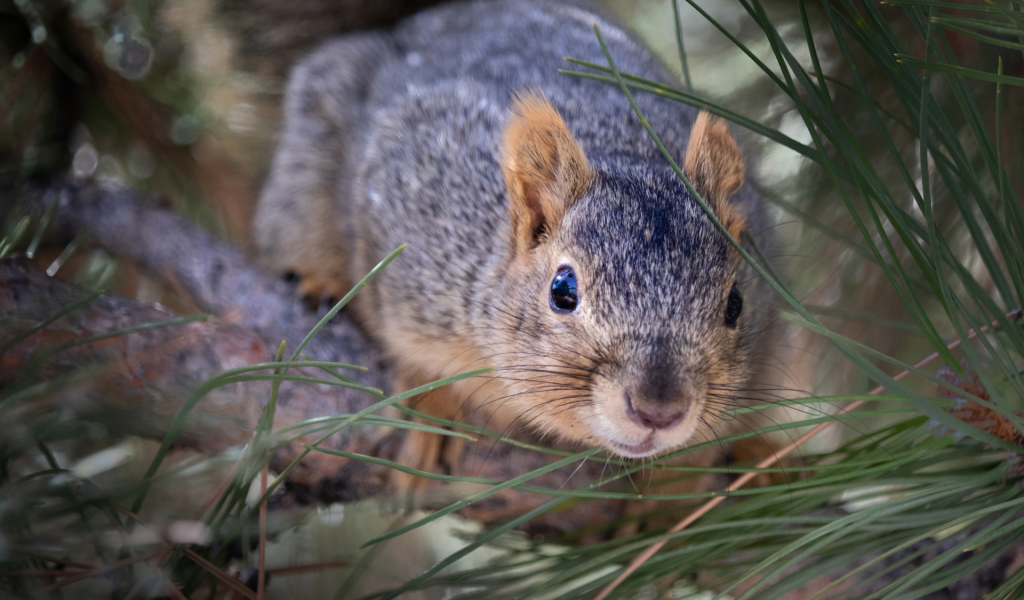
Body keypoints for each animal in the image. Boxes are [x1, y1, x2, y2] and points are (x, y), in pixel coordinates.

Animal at [253, 0, 770, 485]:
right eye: (563, 291)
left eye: (736, 304)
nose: (658, 411)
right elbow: (417, 357)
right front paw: (432, 411)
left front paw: (678, 482)